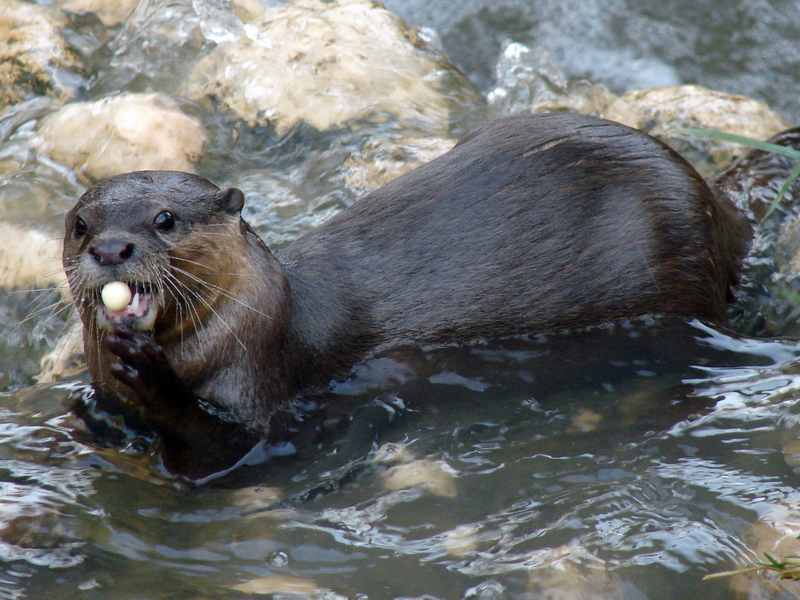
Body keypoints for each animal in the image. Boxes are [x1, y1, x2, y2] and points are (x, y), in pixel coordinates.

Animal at [62, 112, 749, 480]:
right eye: (81, 225)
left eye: (165, 219)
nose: (112, 249)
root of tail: (707, 198)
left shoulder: (266, 388)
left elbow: (221, 454)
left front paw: (151, 379)